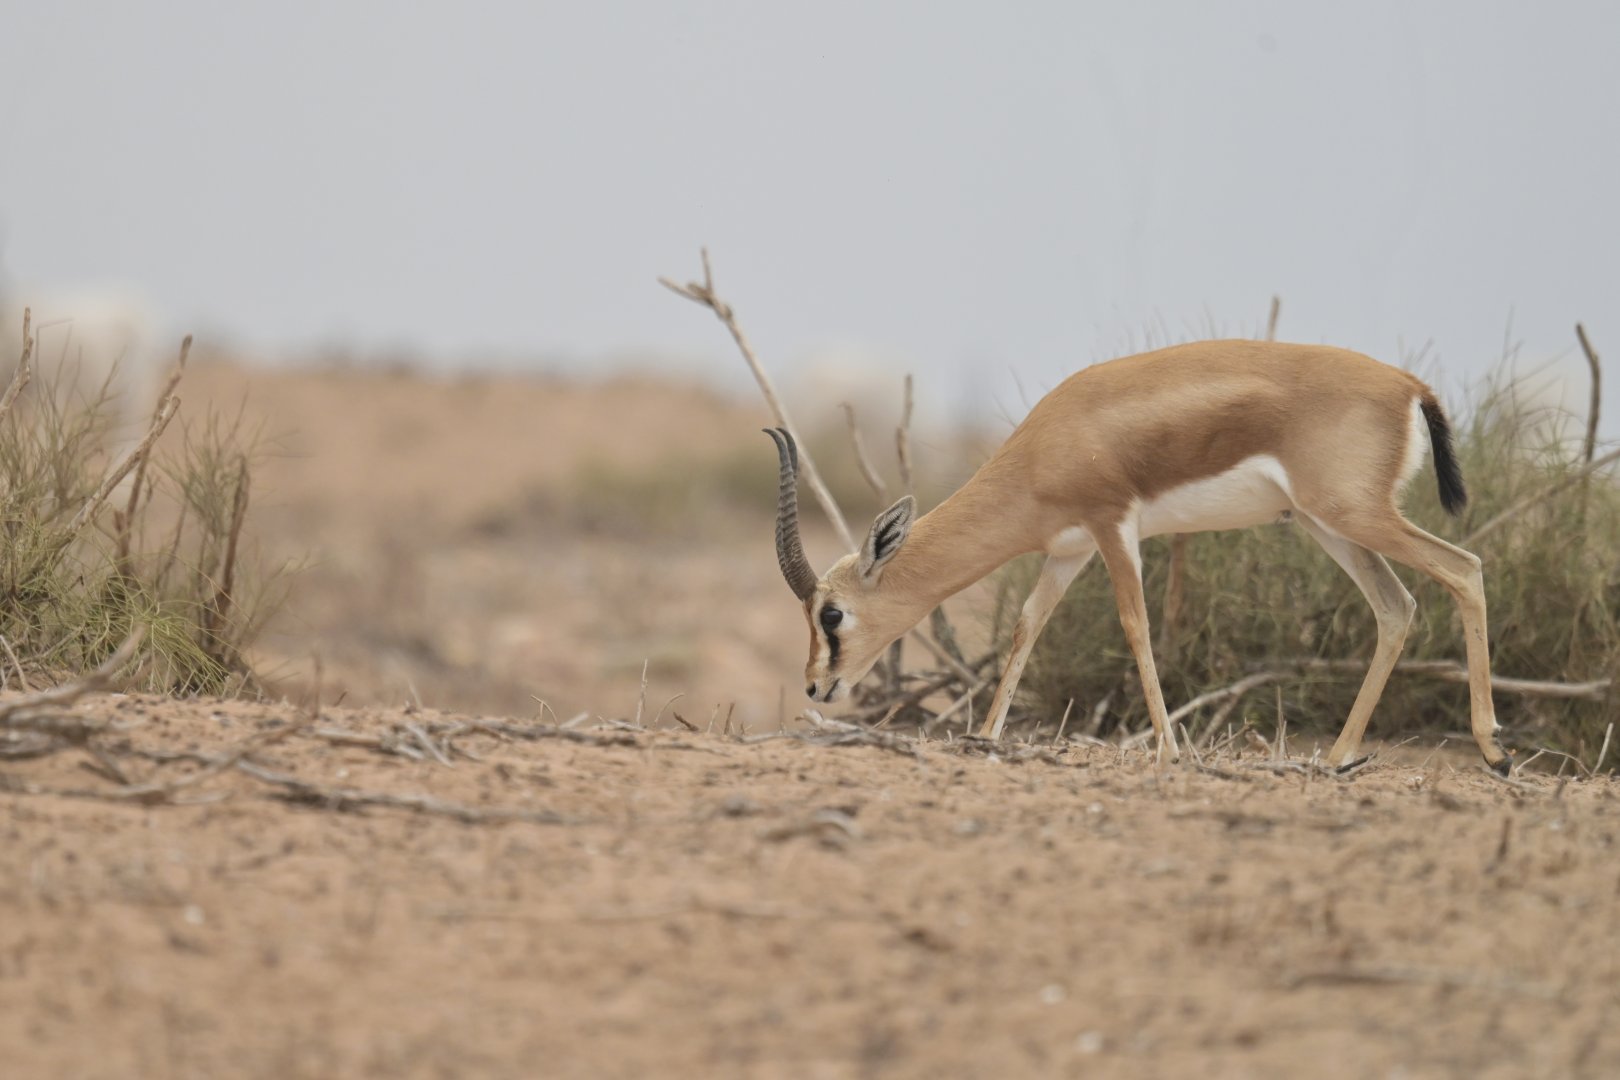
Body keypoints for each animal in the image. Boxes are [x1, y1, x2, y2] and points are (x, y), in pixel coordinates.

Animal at [765, 340, 1512, 774]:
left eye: (831, 615)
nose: (815, 687)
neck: (1046, 445)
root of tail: (1409, 384)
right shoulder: (1066, 551)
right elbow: (1026, 626)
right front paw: (987, 735)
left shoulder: (1112, 525)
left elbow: (1137, 626)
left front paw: (1170, 750)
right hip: (1326, 524)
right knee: (1397, 606)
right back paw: (1337, 756)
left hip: (1355, 516)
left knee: (1465, 568)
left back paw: (1494, 751)